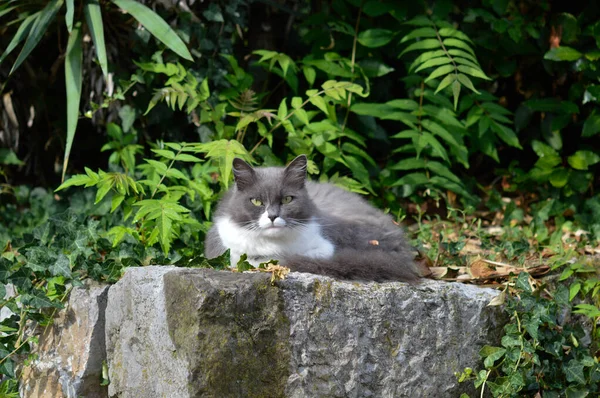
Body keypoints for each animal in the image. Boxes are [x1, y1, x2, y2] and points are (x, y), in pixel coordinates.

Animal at [205, 154, 422, 282]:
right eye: (257, 201)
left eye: (287, 199)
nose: (273, 216)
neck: (270, 244)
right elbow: (235, 256)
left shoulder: (323, 245)